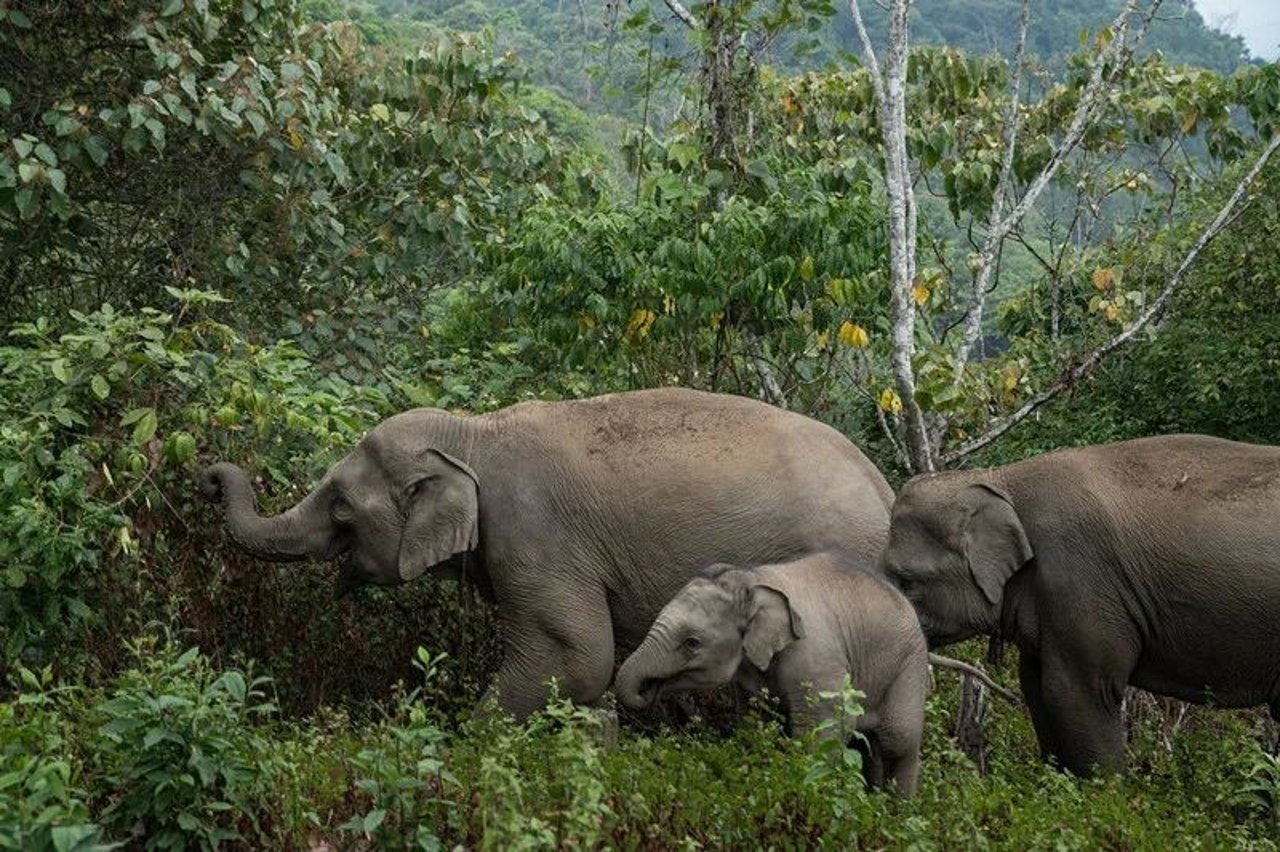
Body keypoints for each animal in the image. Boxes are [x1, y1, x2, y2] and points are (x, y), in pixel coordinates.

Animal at [202, 386, 901, 716]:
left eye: (342, 507)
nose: (208, 475)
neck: (473, 432)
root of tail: (886, 490)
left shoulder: (534, 535)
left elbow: (578, 657)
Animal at [611, 547, 926, 793]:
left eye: (692, 643)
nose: (647, 691)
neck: (753, 580)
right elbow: (754, 722)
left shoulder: (815, 659)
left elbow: (828, 726)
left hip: (908, 667)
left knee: (898, 740)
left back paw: (899, 811)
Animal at [880, 434, 1280, 772]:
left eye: (906, 581)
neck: (1000, 478)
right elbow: (1034, 686)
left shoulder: (1079, 581)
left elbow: (1077, 692)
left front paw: (1106, 796)